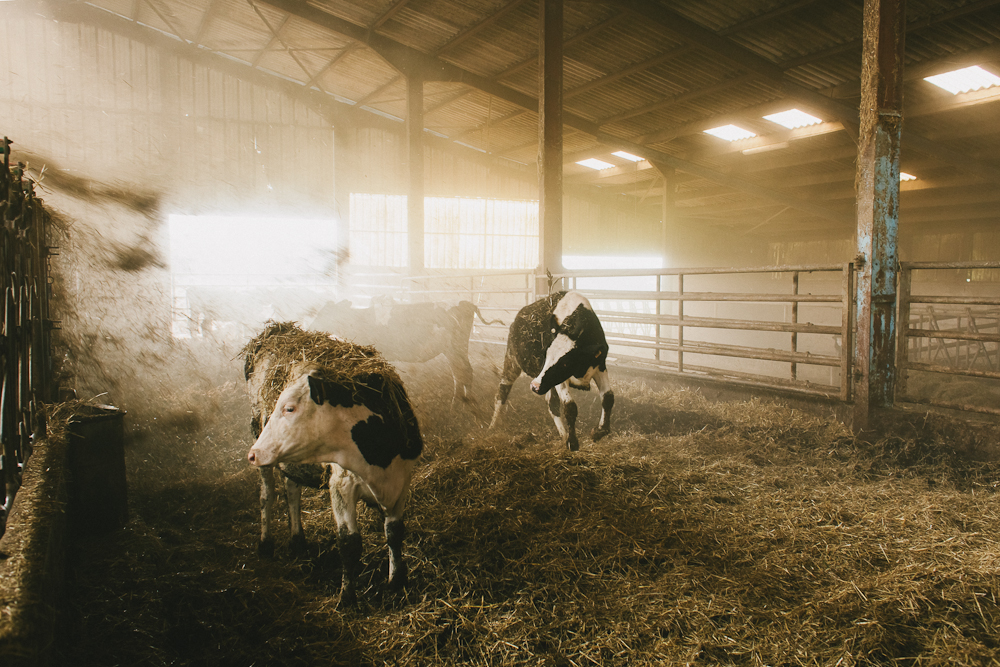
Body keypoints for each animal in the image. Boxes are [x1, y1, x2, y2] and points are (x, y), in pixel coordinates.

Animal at [488, 290, 612, 452]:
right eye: (545, 354)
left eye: (565, 363)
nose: (534, 386)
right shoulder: (558, 379)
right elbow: (570, 407)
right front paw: (573, 442)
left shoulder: (599, 367)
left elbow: (608, 398)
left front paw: (599, 431)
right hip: (512, 362)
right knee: (502, 392)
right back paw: (492, 426)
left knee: (552, 404)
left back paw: (563, 434)